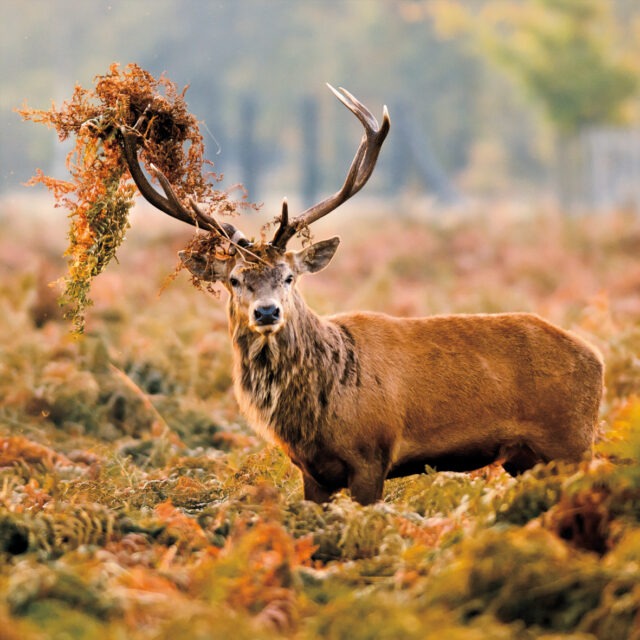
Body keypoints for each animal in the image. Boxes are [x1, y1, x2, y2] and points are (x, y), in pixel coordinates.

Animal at [118, 85, 604, 505]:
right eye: (235, 279)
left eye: (289, 277)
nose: (267, 312)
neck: (316, 411)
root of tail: (597, 358)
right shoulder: (311, 472)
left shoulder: (373, 454)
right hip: (527, 459)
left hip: (572, 442)